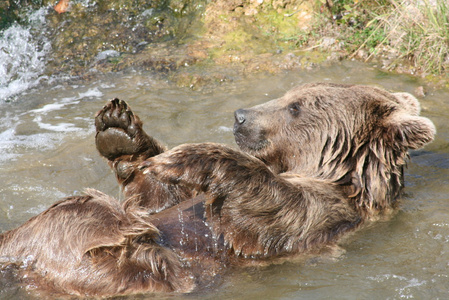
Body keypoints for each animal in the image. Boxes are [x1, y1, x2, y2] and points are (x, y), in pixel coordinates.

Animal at [0, 82, 436, 298]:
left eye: (296, 106)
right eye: (290, 95)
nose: (241, 116)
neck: (326, 171)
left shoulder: (322, 215)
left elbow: (261, 209)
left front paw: (188, 155)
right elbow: (154, 198)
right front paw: (120, 130)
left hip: (158, 270)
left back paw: (125, 229)